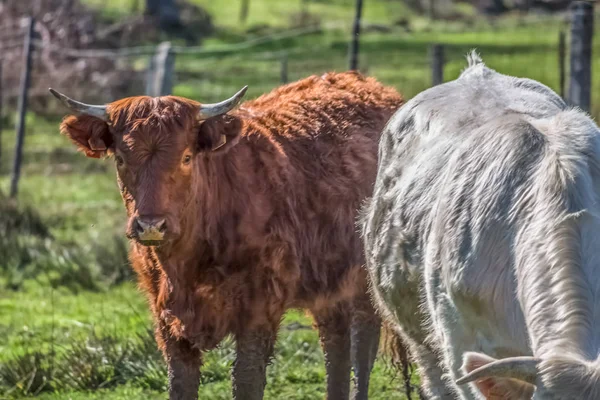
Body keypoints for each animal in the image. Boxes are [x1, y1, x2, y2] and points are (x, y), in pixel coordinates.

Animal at [50, 72, 404, 400]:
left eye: (186, 157)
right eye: (121, 159)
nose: (151, 225)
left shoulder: (258, 310)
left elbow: (246, 381)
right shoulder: (167, 320)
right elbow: (180, 385)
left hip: (366, 279)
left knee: (362, 344)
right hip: (329, 282)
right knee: (335, 343)